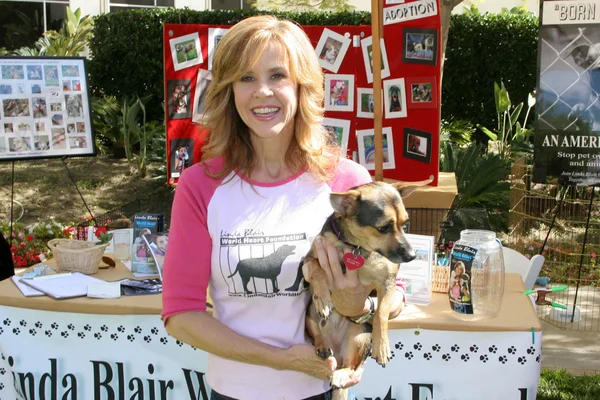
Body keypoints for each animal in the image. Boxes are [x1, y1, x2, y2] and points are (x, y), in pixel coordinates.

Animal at [304, 180, 432, 398]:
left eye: (405, 224)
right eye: (383, 228)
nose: (412, 255)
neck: (357, 248)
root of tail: (336, 348)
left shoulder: (387, 283)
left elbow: (381, 312)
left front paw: (382, 346)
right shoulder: (307, 264)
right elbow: (317, 268)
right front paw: (323, 298)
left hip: (358, 337)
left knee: (349, 365)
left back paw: (341, 373)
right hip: (310, 316)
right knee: (317, 335)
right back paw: (323, 346)